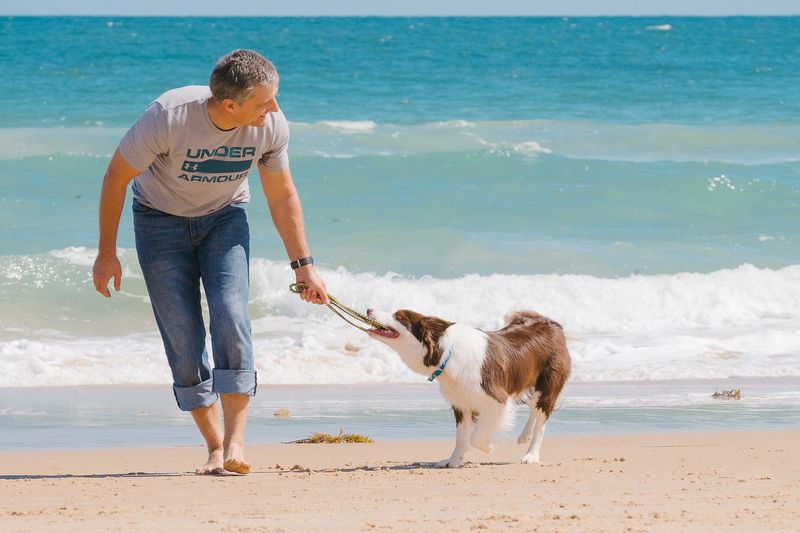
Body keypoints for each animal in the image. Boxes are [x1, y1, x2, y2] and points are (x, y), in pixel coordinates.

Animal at [366, 308, 572, 466]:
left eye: (399, 316)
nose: (368, 310)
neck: (446, 354)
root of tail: (551, 323)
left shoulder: (498, 399)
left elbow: (475, 437)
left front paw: (489, 446)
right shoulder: (461, 402)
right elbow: (461, 437)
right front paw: (453, 461)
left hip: (547, 384)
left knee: (541, 418)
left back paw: (531, 455)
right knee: (533, 407)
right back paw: (525, 435)